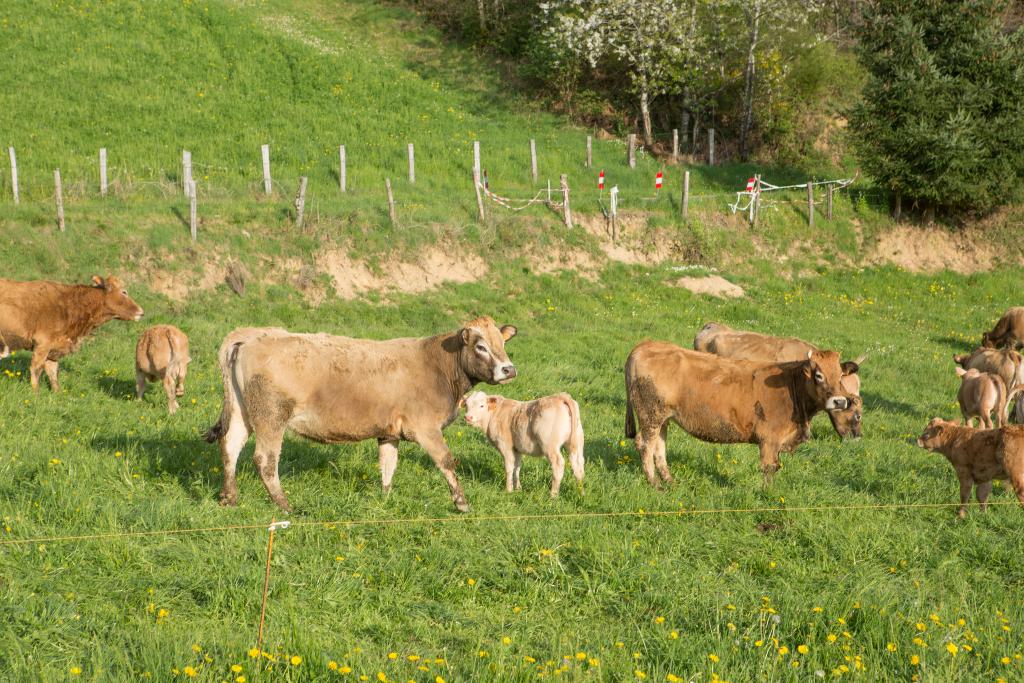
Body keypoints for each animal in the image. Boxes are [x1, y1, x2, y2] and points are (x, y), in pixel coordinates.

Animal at [0, 272, 145, 389]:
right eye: (124, 292)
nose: (141, 312)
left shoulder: (54, 347)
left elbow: (53, 372)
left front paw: (57, 394)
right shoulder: (43, 342)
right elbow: (36, 369)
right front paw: (36, 394)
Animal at [202, 317, 516, 509]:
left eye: (502, 344)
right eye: (481, 346)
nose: (509, 369)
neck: (435, 364)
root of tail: (251, 336)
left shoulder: (389, 432)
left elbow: (388, 465)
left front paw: (386, 499)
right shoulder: (426, 428)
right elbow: (446, 461)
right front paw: (461, 502)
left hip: (243, 412)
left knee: (230, 446)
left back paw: (229, 497)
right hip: (271, 416)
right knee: (265, 459)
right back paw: (285, 505)